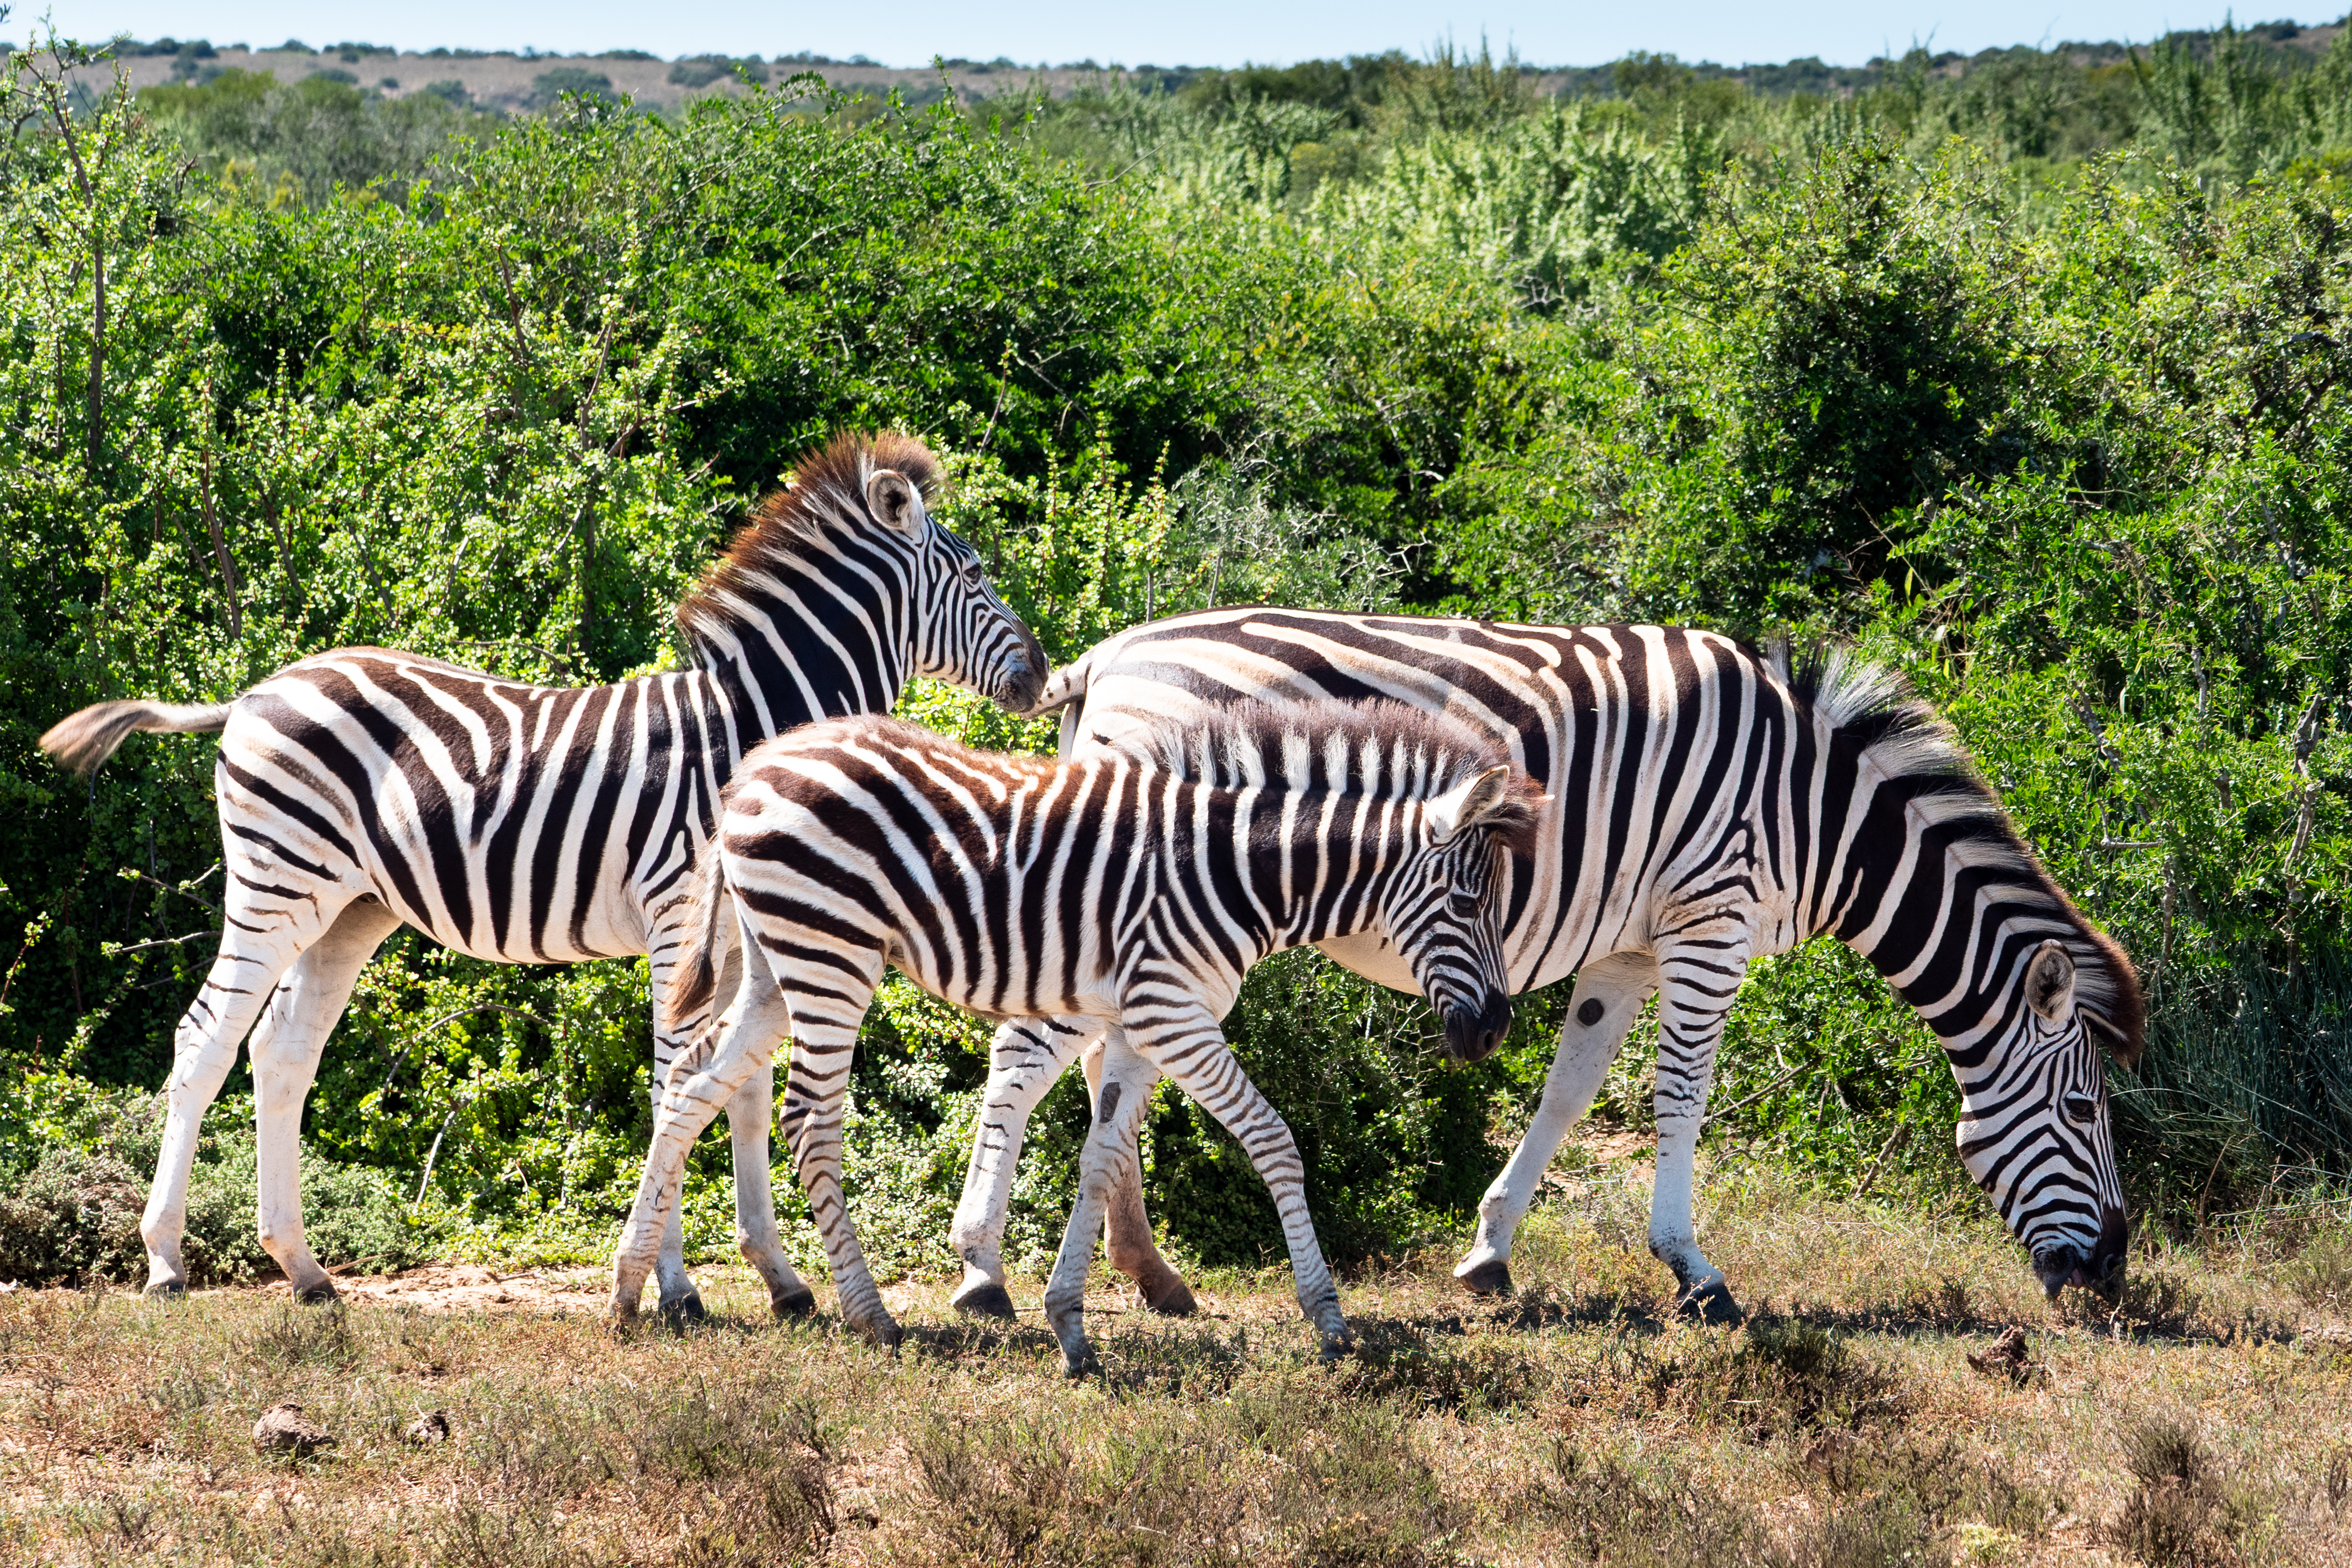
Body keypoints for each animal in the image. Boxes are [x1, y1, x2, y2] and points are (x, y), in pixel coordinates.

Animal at [37, 431, 1045, 1319]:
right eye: (974, 576)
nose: (1041, 675)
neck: (750, 728)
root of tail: (250, 692)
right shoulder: (677, 915)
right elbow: (674, 1080)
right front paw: (673, 1288)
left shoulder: (740, 934)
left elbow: (740, 1091)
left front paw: (778, 1277)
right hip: (279, 880)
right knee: (204, 1039)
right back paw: (166, 1261)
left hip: (351, 906)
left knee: (282, 1050)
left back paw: (303, 1268)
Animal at [604, 699, 1536, 1374]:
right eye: (1468, 903)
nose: (1495, 1029)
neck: (1239, 870)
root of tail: (756, 769)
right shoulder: (1174, 1011)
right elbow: (1273, 1139)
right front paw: (1330, 1317)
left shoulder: (1135, 1022)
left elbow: (1099, 1157)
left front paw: (1072, 1328)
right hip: (832, 952)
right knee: (808, 1119)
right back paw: (871, 1315)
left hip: (774, 963)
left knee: (690, 1083)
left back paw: (630, 1291)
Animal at [938, 611, 2144, 1323]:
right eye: (2084, 1109)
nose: (2111, 1275)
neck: (1818, 813)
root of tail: (1109, 657)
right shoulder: (1709, 920)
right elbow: (1678, 1095)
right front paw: (1693, 1270)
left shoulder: (1627, 944)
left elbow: (1569, 1089)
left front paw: (1488, 1252)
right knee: (1035, 1052)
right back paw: (986, 1268)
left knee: (1108, 1062)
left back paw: (1147, 1271)